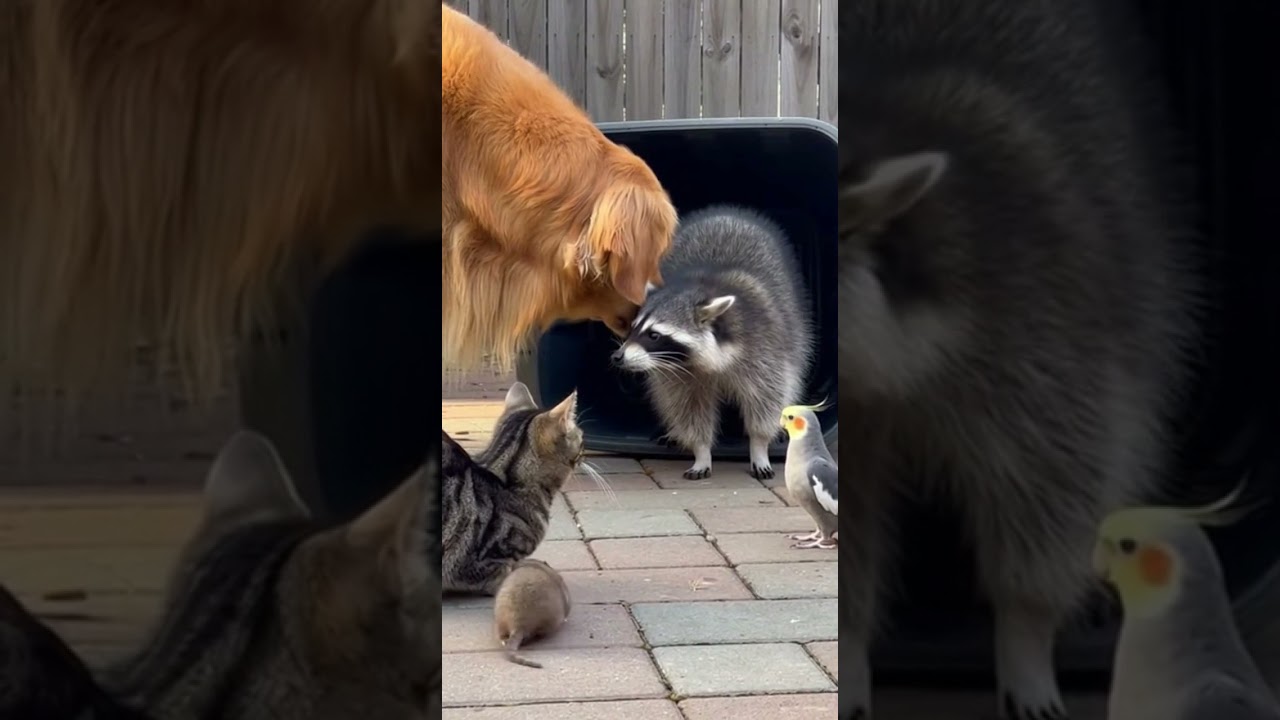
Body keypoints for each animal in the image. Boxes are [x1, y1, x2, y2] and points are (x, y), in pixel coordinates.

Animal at [613, 204, 815, 480]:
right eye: (633, 328)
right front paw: (701, 451)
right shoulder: (678, 375)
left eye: (654, 335)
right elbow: (688, 409)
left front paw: (759, 446)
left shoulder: (764, 347)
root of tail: (726, 212)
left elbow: (766, 398)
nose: (617, 357)